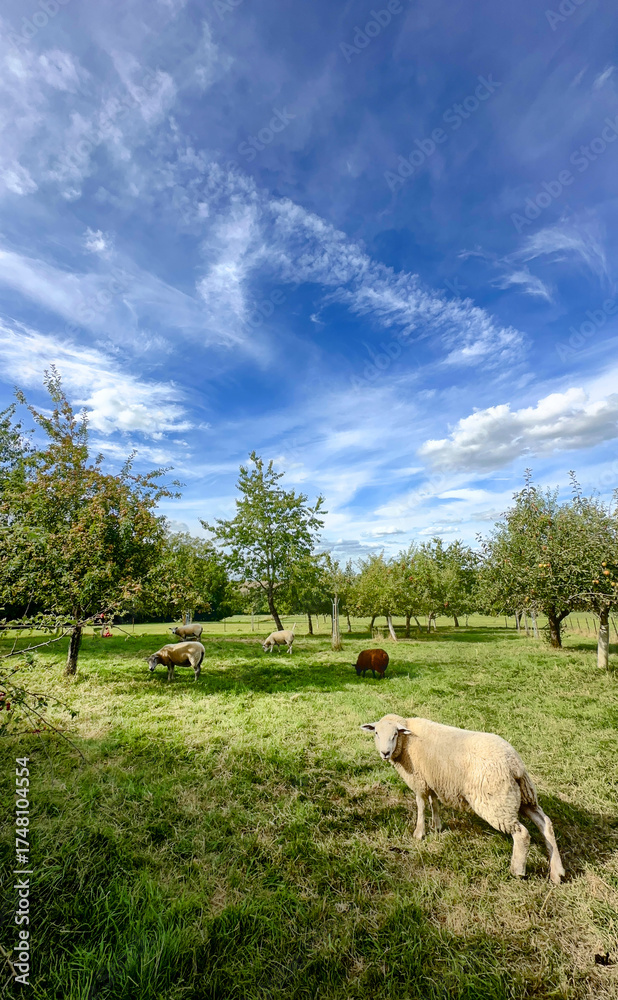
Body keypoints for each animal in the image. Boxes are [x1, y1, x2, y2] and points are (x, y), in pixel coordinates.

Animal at [361, 714, 565, 884]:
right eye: (376, 733)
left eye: (395, 734)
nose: (385, 753)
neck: (407, 742)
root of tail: (514, 764)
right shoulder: (434, 780)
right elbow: (434, 803)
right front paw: (437, 826)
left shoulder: (419, 781)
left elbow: (421, 805)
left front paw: (419, 833)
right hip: (523, 796)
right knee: (545, 823)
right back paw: (557, 872)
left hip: (497, 803)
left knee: (522, 834)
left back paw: (517, 870)